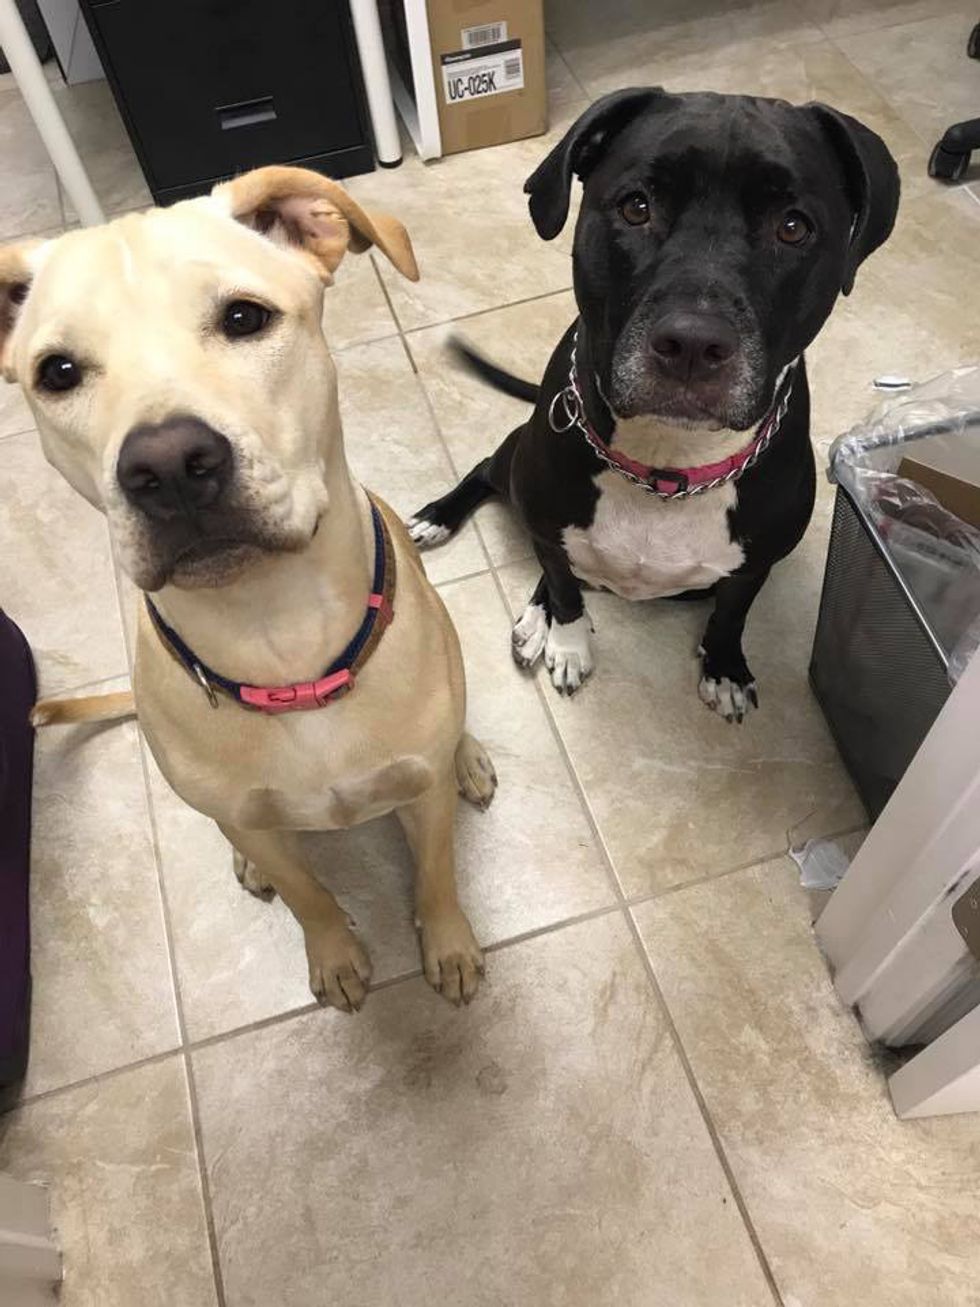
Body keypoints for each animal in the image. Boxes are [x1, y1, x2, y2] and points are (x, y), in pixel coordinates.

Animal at [3, 165, 499, 1009]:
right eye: (57, 372)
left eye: (244, 317)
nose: (168, 465)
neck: (280, 639)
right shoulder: (251, 821)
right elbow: (306, 892)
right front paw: (335, 953)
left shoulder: (421, 796)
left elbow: (436, 873)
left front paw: (450, 944)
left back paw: (467, 757)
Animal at [407, 90, 898, 721]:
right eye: (636, 208)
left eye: (793, 227)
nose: (692, 342)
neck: (669, 462)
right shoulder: (548, 520)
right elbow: (564, 590)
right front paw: (568, 643)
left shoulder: (754, 565)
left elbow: (731, 615)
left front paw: (724, 666)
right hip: (517, 471)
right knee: (494, 484)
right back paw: (449, 532)